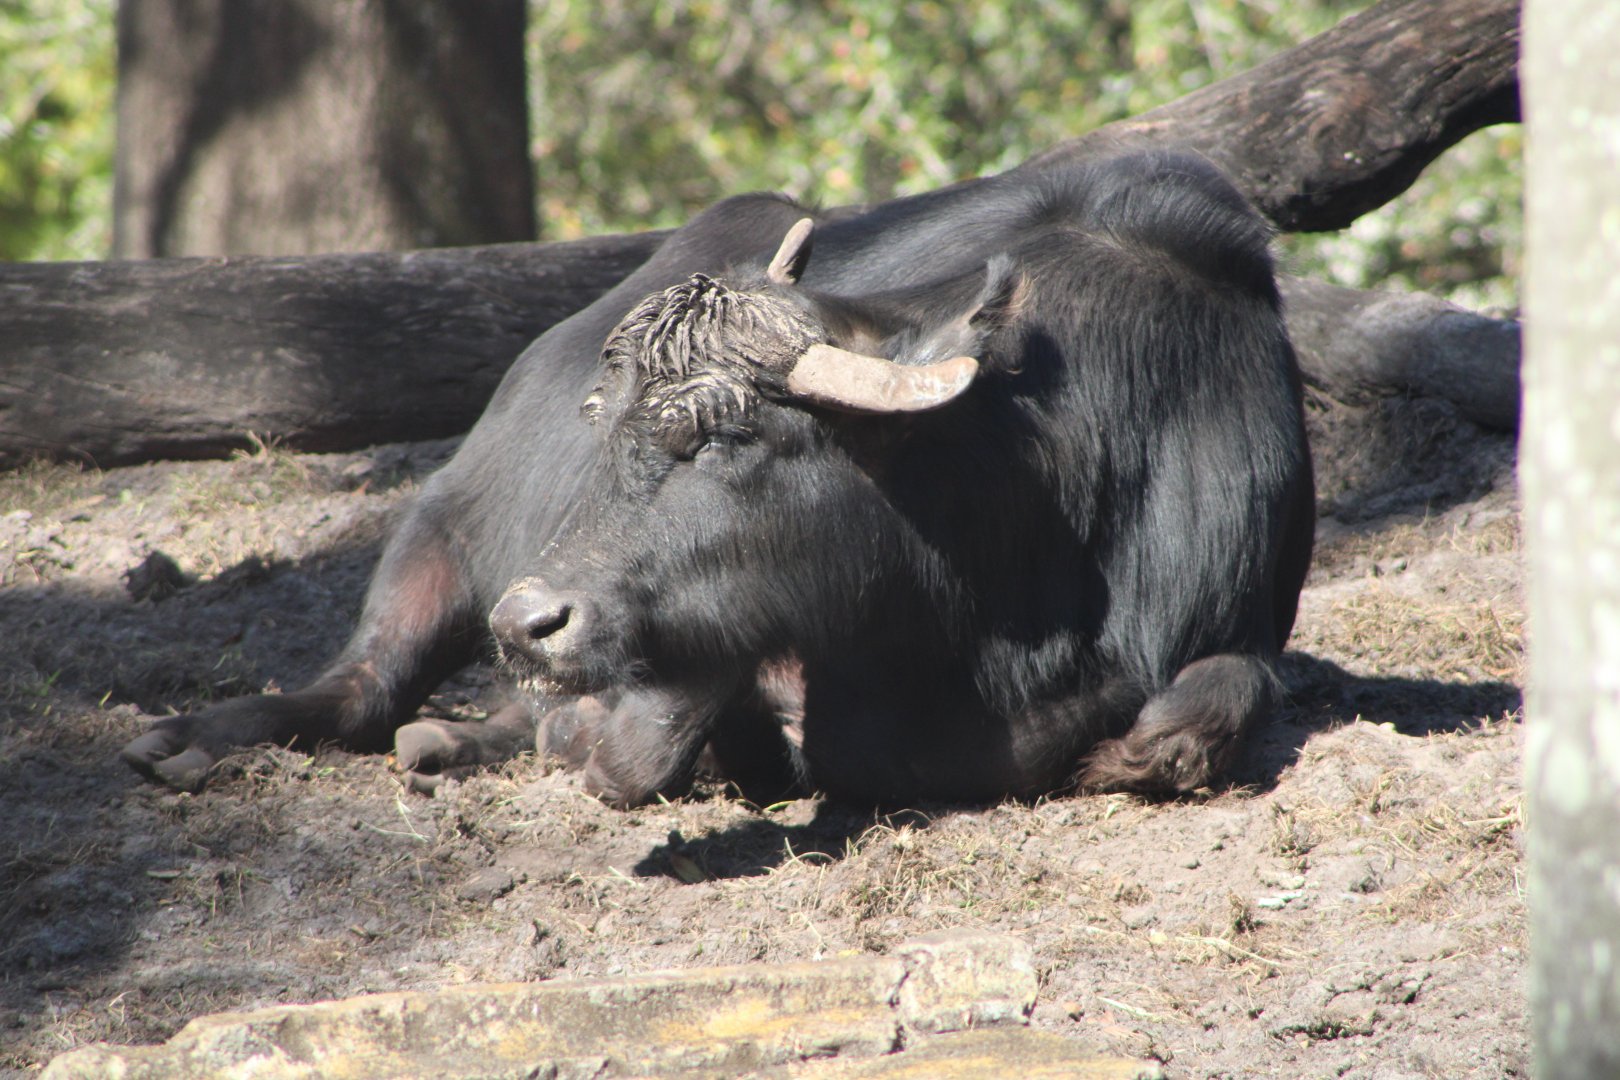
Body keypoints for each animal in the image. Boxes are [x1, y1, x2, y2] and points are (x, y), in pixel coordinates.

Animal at [125, 150, 1313, 806]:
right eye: (608, 428)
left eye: (724, 439)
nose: (530, 620)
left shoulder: (1238, 601)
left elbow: (1214, 696)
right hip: (439, 528)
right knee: (365, 682)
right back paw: (189, 741)